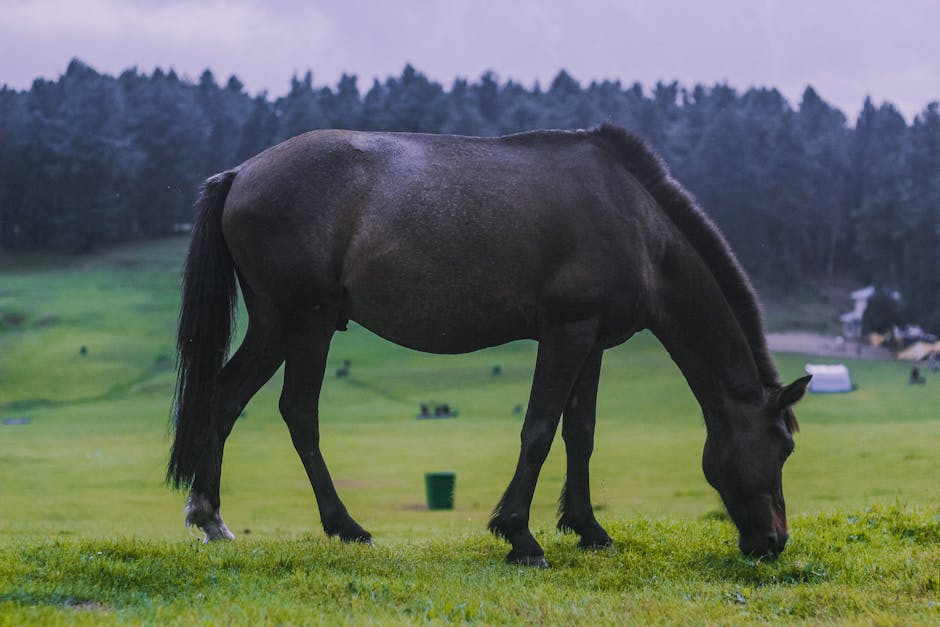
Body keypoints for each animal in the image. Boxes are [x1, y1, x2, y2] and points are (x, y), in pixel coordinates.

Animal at [167, 125, 808, 568]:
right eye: (782, 448)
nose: (773, 541)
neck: (637, 225)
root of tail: (241, 173)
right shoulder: (566, 332)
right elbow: (540, 430)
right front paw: (520, 536)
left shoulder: (593, 341)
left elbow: (581, 434)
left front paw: (588, 529)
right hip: (309, 323)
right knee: (299, 413)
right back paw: (345, 525)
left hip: (275, 324)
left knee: (224, 399)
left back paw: (210, 516)